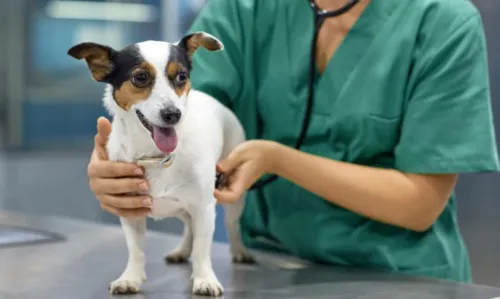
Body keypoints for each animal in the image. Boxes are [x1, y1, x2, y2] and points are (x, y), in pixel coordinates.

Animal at [68, 31, 256, 296]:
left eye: (182, 76)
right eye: (140, 77)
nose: (173, 114)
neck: (156, 156)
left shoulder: (204, 208)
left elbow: (203, 248)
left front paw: (204, 279)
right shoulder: (130, 210)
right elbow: (136, 250)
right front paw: (131, 278)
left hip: (232, 195)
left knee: (231, 225)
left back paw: (240, 251)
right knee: (189, 227)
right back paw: (182, 251)